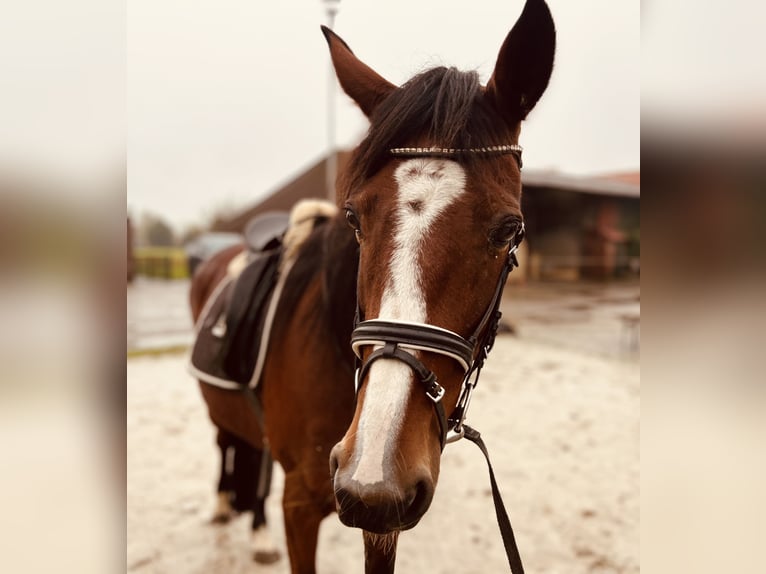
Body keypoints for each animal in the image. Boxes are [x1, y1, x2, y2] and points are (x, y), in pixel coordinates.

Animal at [189, 2, 556, 572]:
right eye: (354, 218)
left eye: (509, 229)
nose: (373, 470)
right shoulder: (304, 504)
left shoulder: (383, 515)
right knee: (227, 442)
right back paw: (229, 507)